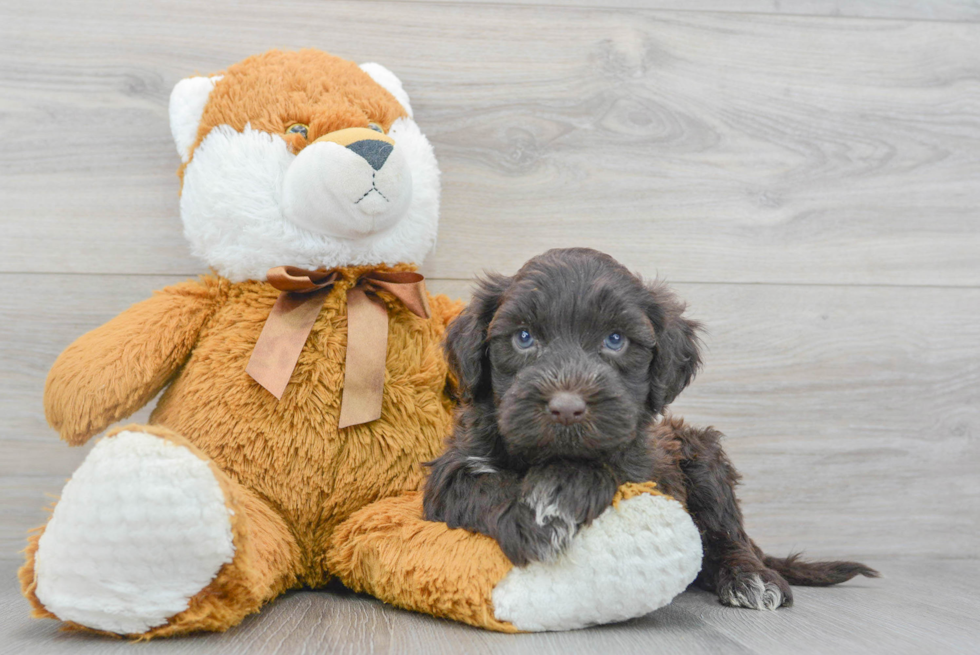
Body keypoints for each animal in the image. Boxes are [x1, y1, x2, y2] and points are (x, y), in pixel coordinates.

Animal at [424, 247, 876, 608]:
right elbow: (477, 483)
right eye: (523, 337)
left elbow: (608, 463)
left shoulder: (649, 469)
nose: (567, 408)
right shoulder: (452, 466)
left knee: (728, 535)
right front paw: (536, 517)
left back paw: (750, 576)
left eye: (615, 339)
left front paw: (559, 493)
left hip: (702, 457)